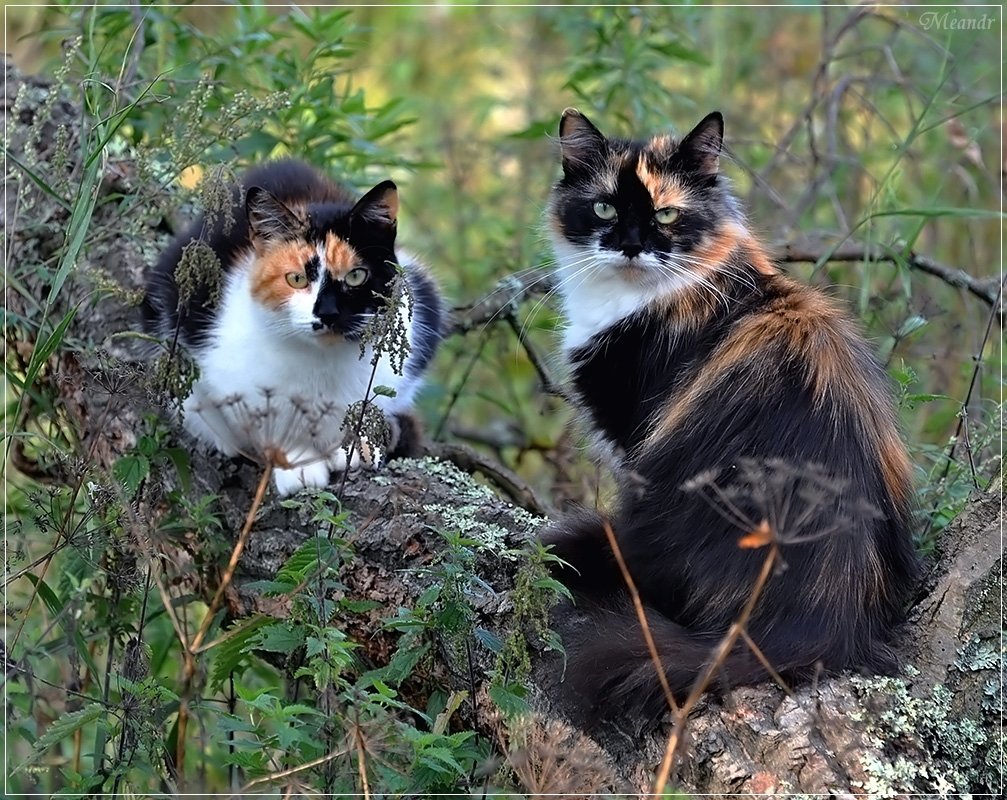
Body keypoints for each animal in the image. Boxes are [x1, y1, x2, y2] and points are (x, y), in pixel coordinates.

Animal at [141, 157, 445, 491]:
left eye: (356, 275)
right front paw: (299, 465)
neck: (321, 362)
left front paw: (357, 446)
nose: (327, 313)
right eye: (296, 278)